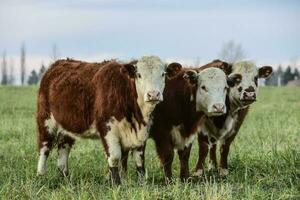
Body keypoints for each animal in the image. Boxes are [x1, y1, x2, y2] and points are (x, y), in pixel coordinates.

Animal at [36, 55, 179, 185]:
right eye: (139, 75)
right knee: (44, 146)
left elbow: (139, 160)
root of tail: (58, 64)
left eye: (163, 74)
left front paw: (142, 184)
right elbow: (115, 158)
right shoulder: (107, 128)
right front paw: (117, 185)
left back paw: (64, 177)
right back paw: (41, 175)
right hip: (46, 120)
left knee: (63, 149)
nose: (153, 94)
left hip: (67, 126)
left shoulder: (141, 132)